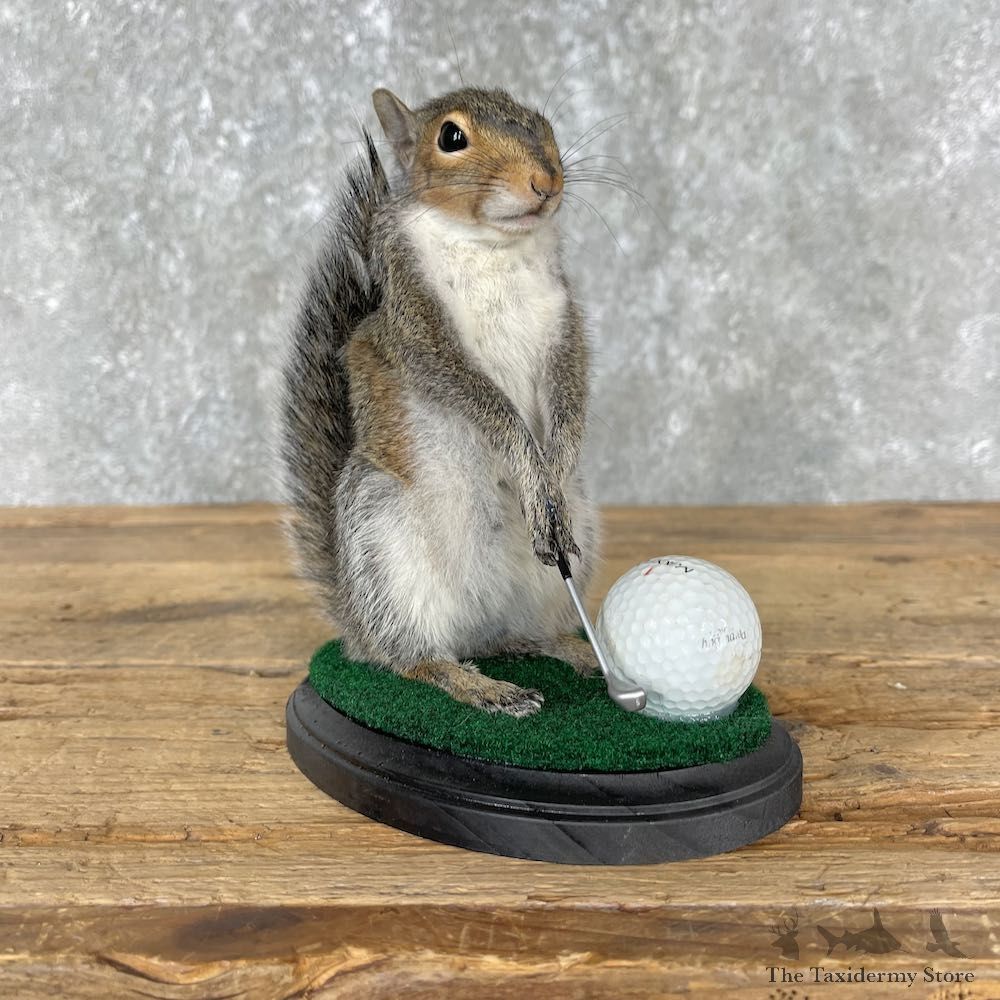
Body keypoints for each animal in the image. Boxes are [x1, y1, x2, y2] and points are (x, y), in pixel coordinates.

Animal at [280, 86, 600, 717]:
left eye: (540, 121)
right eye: (451, 137)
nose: (547, 180)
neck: (493, 246)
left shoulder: (563, 322)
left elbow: (571, 390)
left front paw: (554, 468)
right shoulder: (419, 330)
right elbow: (478, 398)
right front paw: (528, 464)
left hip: (555, 575)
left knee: (521, 636)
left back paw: (575, 652)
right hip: (385, 547)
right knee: (414, 660)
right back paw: (481, 686)